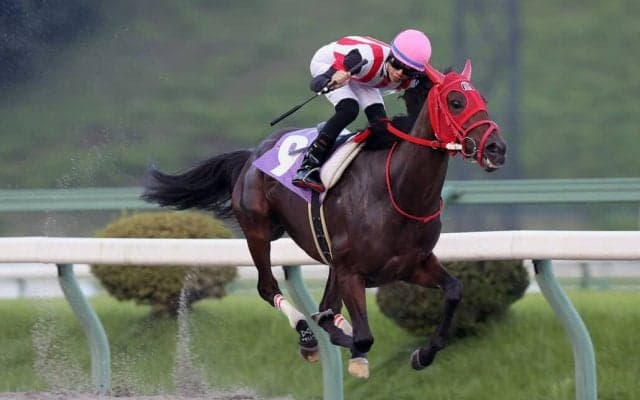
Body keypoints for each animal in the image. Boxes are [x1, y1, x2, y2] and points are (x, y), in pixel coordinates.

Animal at [142, 60, 506, 379]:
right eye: (456, 101)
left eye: (484, 101)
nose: (497, 148)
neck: (397, 191)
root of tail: (252, 154)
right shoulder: (352, 272)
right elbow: (360, 336)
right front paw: (349, 347)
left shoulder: (412, 265)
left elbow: (455, 290)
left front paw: (424, 354)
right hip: (259, 232)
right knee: (268, 288)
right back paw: (308, 335)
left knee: (322, 304)